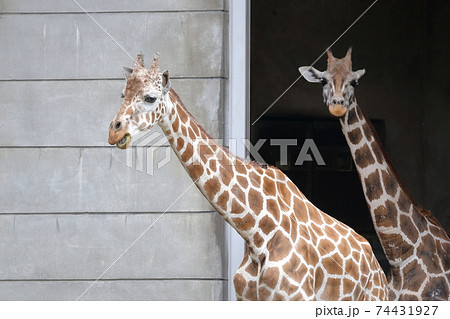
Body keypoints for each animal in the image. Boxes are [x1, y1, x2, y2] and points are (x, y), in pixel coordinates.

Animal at [107, 53, 388, 302]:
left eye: (150, 97)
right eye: (122, 94)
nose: (114, 131)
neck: (256, 233)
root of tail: (380, 272)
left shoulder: (297, 298)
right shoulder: (247, 299)